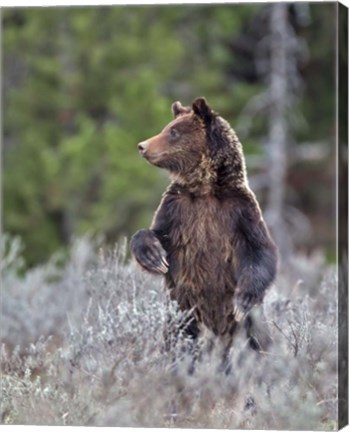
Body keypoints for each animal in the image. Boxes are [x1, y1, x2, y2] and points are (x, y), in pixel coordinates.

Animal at [130, 97, 278, 352]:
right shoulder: (177, 209)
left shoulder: (240, 211)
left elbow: (260, 251)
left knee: (257, 339)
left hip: (245, 325)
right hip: (183, 310)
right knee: (178, 336)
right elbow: (156, 233)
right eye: (168, 127)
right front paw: (154, 257)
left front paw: (242, 300)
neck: (204, 188)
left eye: (174, 132)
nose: (142, 145)